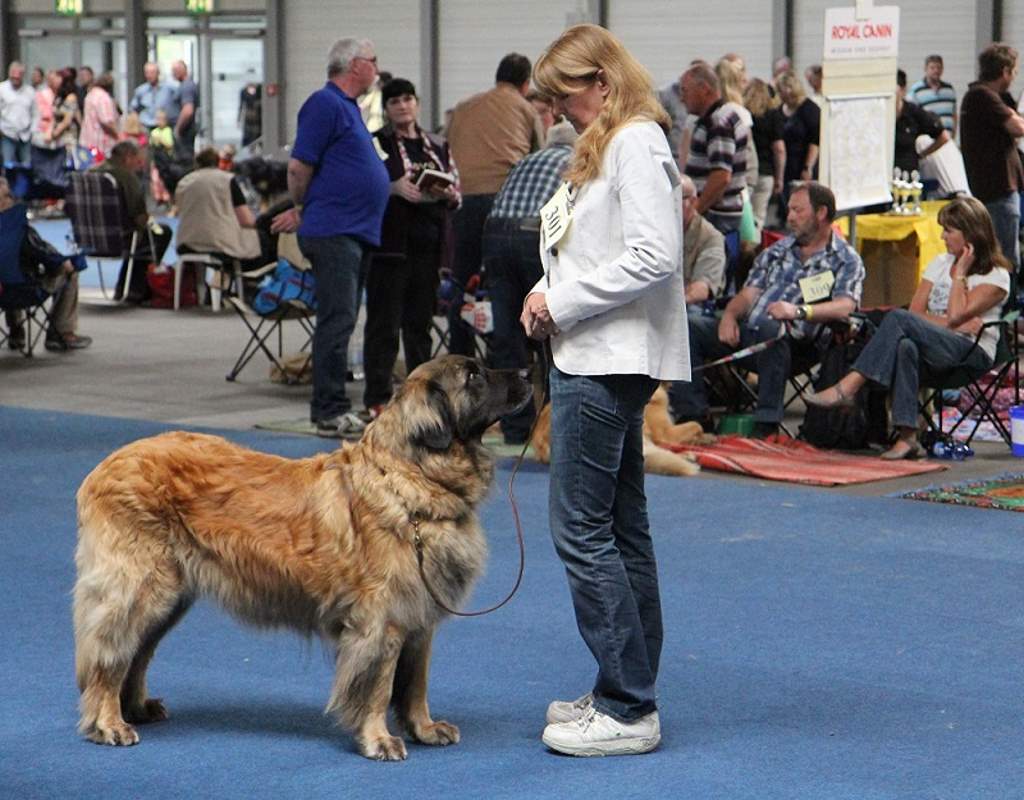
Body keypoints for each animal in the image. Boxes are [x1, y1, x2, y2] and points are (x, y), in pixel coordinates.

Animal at [74, 356, 528, 762]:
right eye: (473, 376)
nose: (527, 371)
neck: (407, 479)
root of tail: (103, 467)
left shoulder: (420, 618)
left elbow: (416, 683)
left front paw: (425, 728)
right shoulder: (382, 622)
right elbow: (378, 686)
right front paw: (378, 739)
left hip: (170, 597)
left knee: (137, 652)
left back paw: (136, 708)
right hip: (142, 587)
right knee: (109, 655)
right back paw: (108, 723)